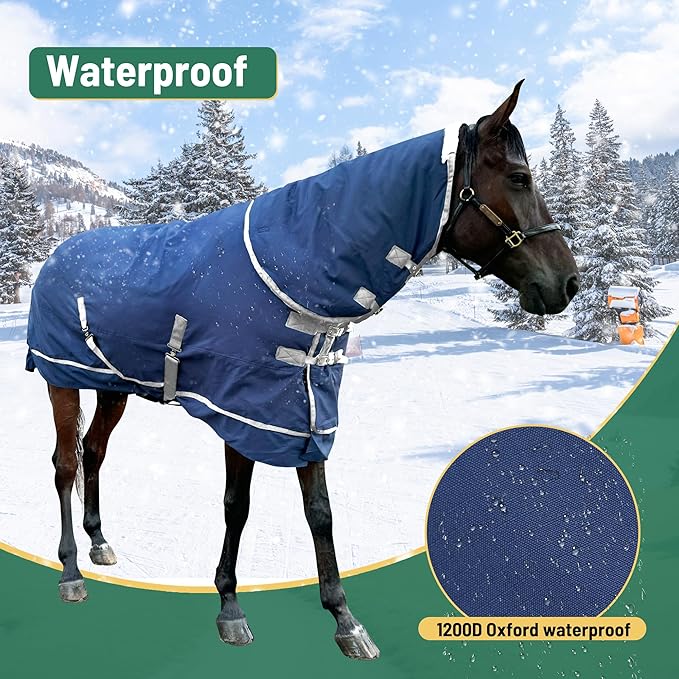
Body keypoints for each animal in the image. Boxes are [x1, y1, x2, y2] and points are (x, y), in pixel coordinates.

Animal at [26, 80, 578, 660]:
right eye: (519, 178)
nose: (568, 282)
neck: (295, 267)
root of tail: (56, 257)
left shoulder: (306, 409)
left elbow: (320, 512)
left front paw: (344, 619)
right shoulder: (244, 413)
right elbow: (237, 505)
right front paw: (230, 607)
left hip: (114, 387)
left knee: (94, 452)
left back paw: (99, 542)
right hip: (60, 379)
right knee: (65, 464)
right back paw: (70, 572)